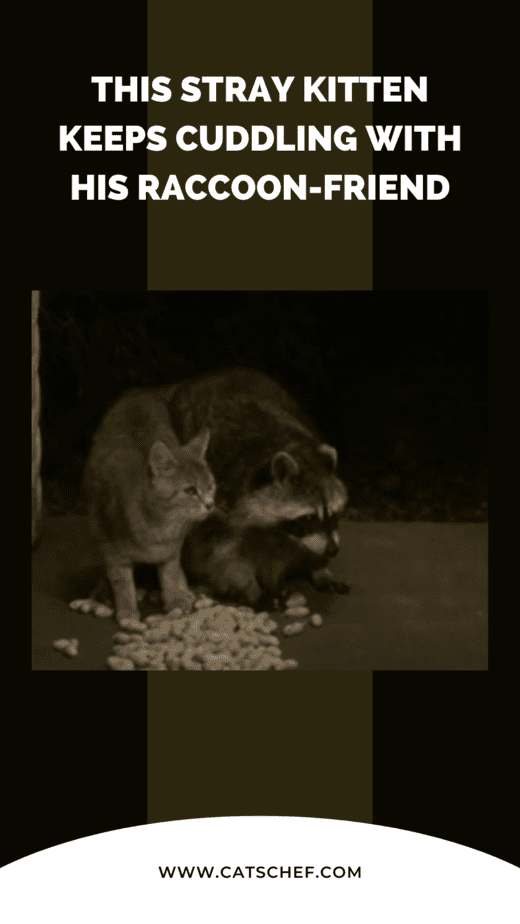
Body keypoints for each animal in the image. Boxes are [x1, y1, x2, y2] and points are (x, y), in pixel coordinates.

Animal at [85, 390, 215, 628]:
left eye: (210, 486)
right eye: (190, 490)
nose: (209, 504)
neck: (159, 527)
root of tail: (136, 391)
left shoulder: (172, 549)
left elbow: (171, 573)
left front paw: (176, 599)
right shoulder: (112, 550)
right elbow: (122, 580)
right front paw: (127, 610)